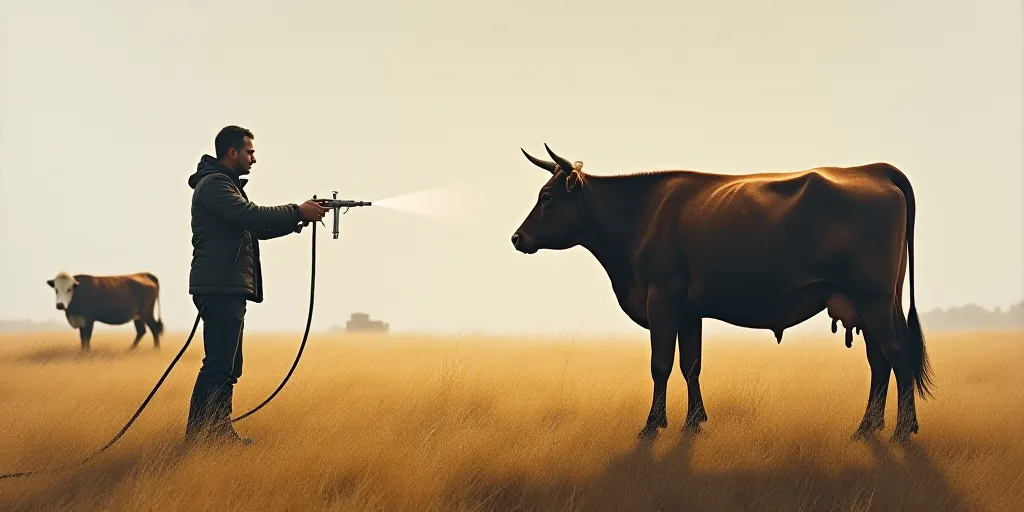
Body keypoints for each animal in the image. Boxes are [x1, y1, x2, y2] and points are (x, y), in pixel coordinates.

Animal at [510, 144, 932, 444]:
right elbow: (690, 364)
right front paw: (693, 422)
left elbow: (660, 364)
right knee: (879, 362)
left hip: (874, 299)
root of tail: (872, 169)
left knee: (898, 355)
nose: (517, 238)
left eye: (547, 197)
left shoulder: (661, 299)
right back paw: (866, 429)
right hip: (866, 304)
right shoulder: (687, 310)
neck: (639, 216)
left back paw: (900, 432)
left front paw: (651, 426)